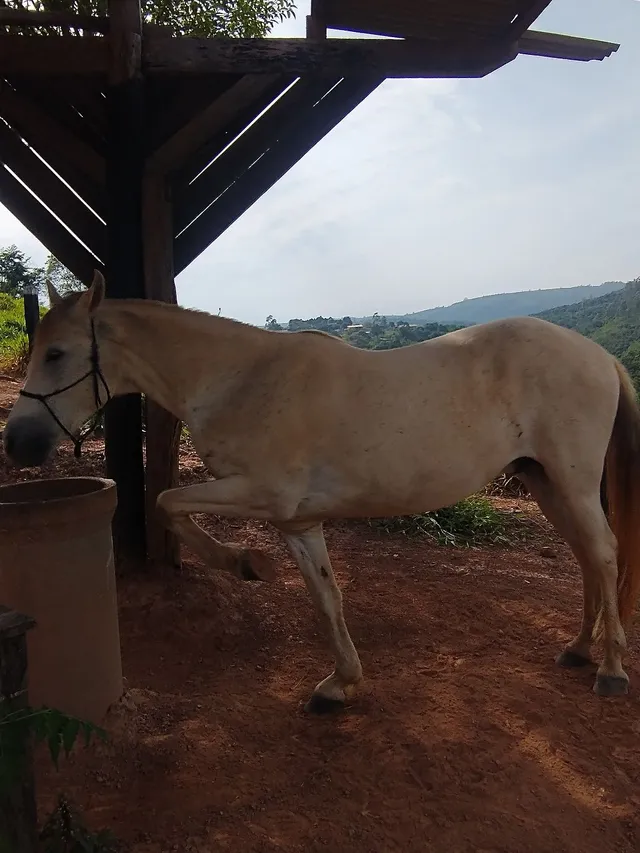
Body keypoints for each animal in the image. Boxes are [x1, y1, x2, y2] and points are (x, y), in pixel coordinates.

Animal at [3, 270, 640, 708]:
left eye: (56, 354)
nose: (18, 443)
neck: (239, 378)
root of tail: (600, 356)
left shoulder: (264, 494)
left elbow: (166, 503)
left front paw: (244, 563)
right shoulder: (298, 522)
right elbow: (326, 597)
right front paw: (341, 684)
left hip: (573, 483)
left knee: (604, 554)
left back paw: (610, 669)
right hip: (547, 483)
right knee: (586, 558)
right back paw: (579, 649)